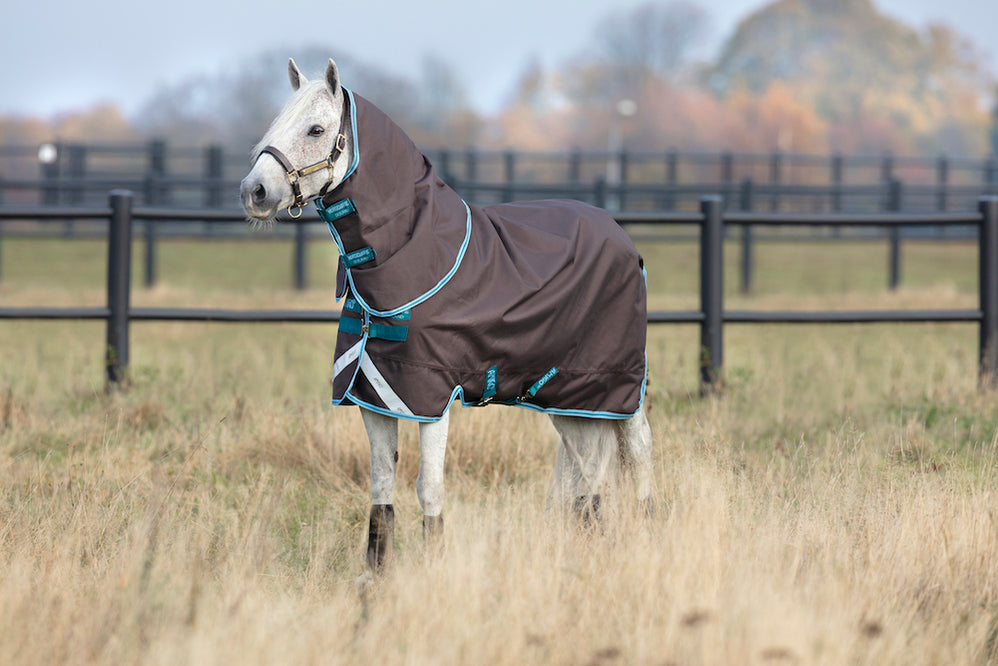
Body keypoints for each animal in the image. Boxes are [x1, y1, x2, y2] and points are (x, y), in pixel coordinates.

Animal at [240, 58, 654, 570]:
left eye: (316, 129)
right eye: (276, 123)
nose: (254, 191)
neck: (412, 254)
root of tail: (620, 236)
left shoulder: (430, 397)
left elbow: (429, 490)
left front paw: (432, 569)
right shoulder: (375, 395)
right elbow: (381, 488)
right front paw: (373, 577)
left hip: (619, 383)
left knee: (638, 452)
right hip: (568, 393)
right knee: (587, 471)